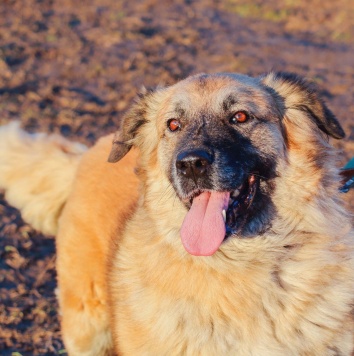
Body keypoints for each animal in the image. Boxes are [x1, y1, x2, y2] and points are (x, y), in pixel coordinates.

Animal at [0, 71, 352, 354]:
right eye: (173, 125)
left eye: (240, 117)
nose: (191, 165)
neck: (236, 267)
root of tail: (87, 153)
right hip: (87, 327)